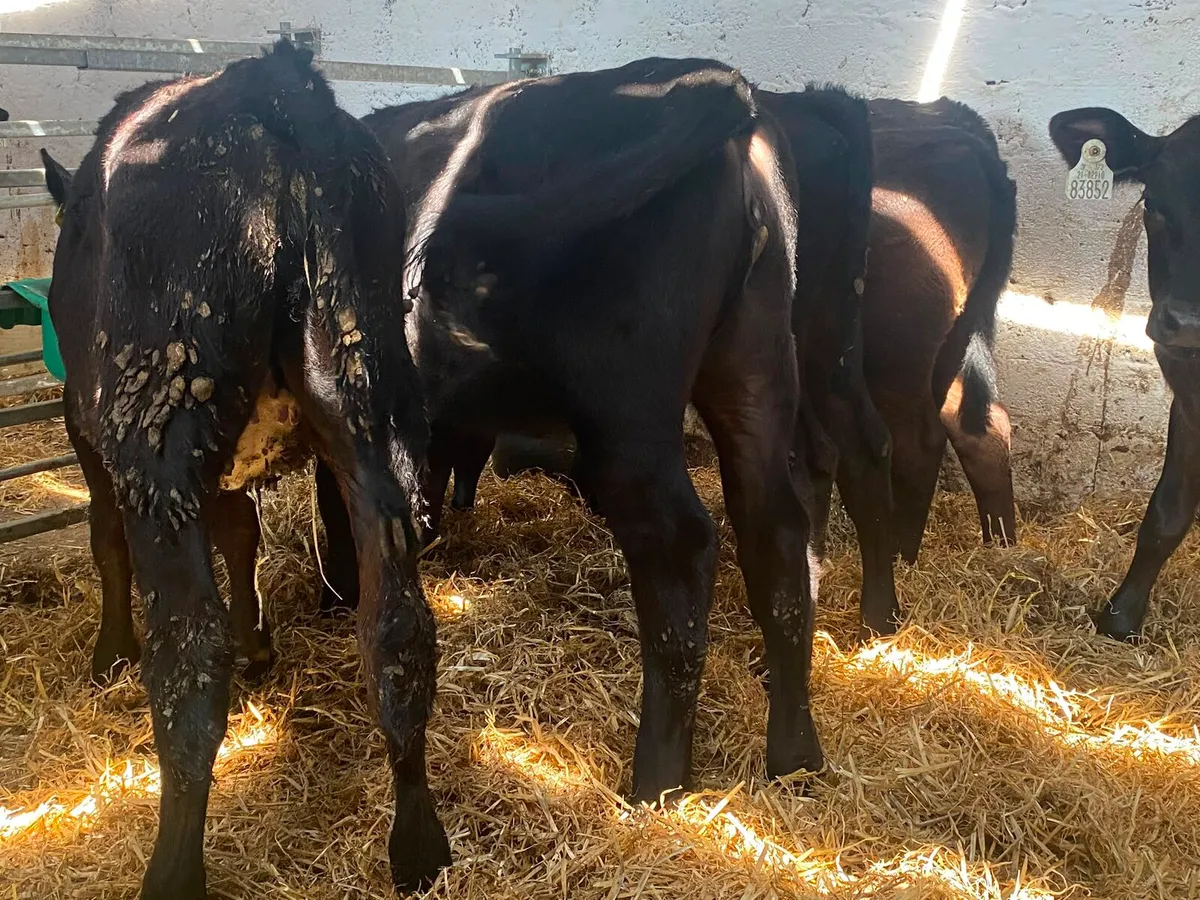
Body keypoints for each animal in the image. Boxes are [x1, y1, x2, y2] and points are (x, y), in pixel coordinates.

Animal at [41, 41, 449, 898]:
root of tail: (273, 86)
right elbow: (244, 535)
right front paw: (259, 641)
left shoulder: (84, 430)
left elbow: (105, 541)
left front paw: (109, 653)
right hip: (375, 410)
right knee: (398, 627)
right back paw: (419, 844)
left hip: (158, 436)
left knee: (189, 660)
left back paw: (172, 869)